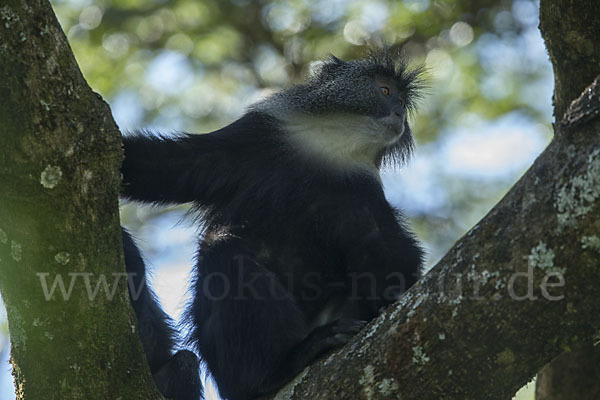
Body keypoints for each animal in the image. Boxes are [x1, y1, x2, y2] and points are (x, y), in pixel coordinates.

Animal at [120, 47, 422, 400]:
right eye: (385, 91)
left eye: (402, 101)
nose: (399, 113)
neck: (331, 145)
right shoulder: (258, 134)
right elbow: (171, 165)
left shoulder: (363, 194)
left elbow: (389, 253)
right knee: (225, 251)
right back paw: (266, 375)